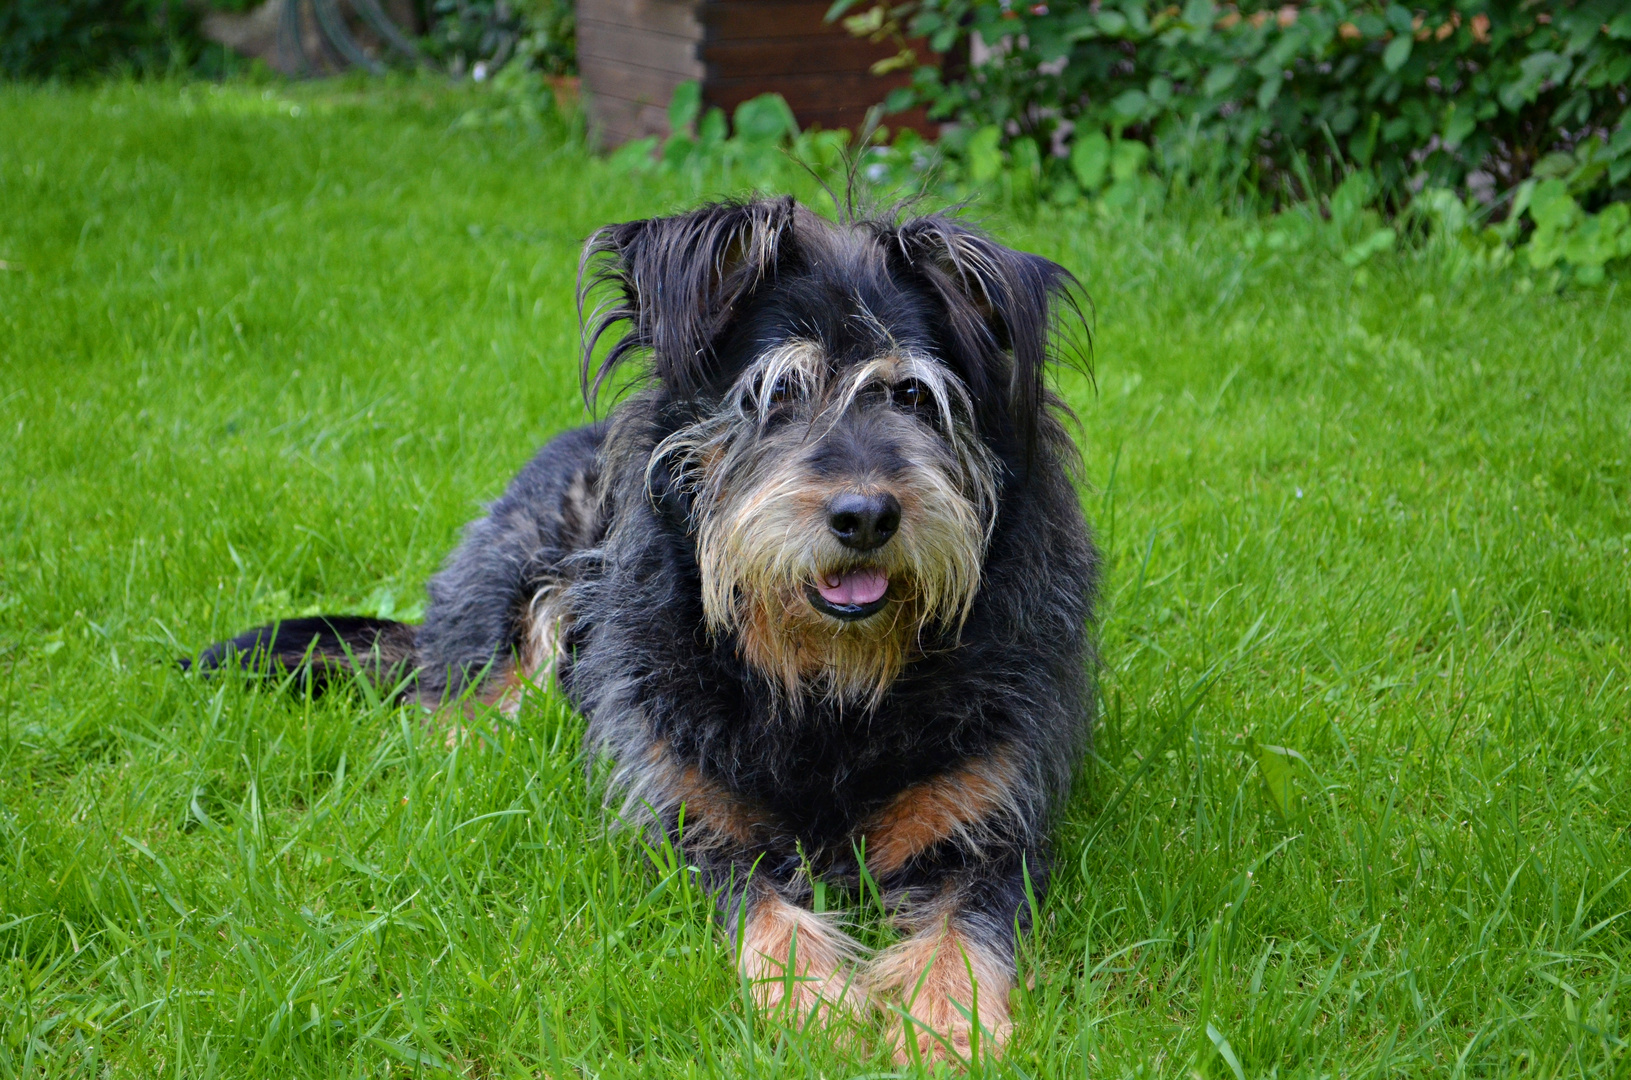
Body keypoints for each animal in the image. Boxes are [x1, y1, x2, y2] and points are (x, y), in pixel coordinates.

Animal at [197, 196, 1102, 1063]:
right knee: (464, 707)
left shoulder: (989, 822)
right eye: (775, 394)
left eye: (914, 395)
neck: (827, 681)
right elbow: (767, 917)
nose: (866, 515)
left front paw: (942, 1033)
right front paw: (818, 1012)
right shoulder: (693, 824)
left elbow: (961, 935)